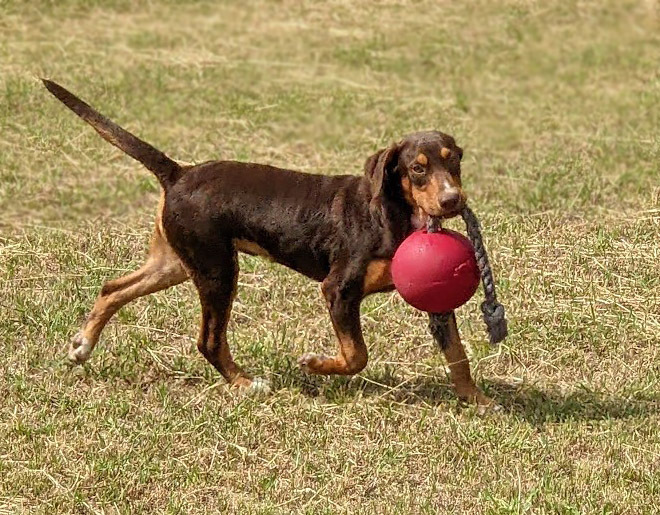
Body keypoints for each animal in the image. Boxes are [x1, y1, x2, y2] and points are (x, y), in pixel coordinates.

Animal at [41, 78, 492, 408]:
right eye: (418, 169)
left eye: (455, 160)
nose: (453, 200)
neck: (393, 213)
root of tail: (179, 172)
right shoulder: (339, 289)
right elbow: (357, 356)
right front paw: (316, 365)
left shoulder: (437, 301)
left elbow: (458, 354)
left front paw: (477, 400)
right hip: (218, 271)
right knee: (208, 340)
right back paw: (245, 384)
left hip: (177, 263)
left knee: (113, 288)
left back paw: (82, 346)